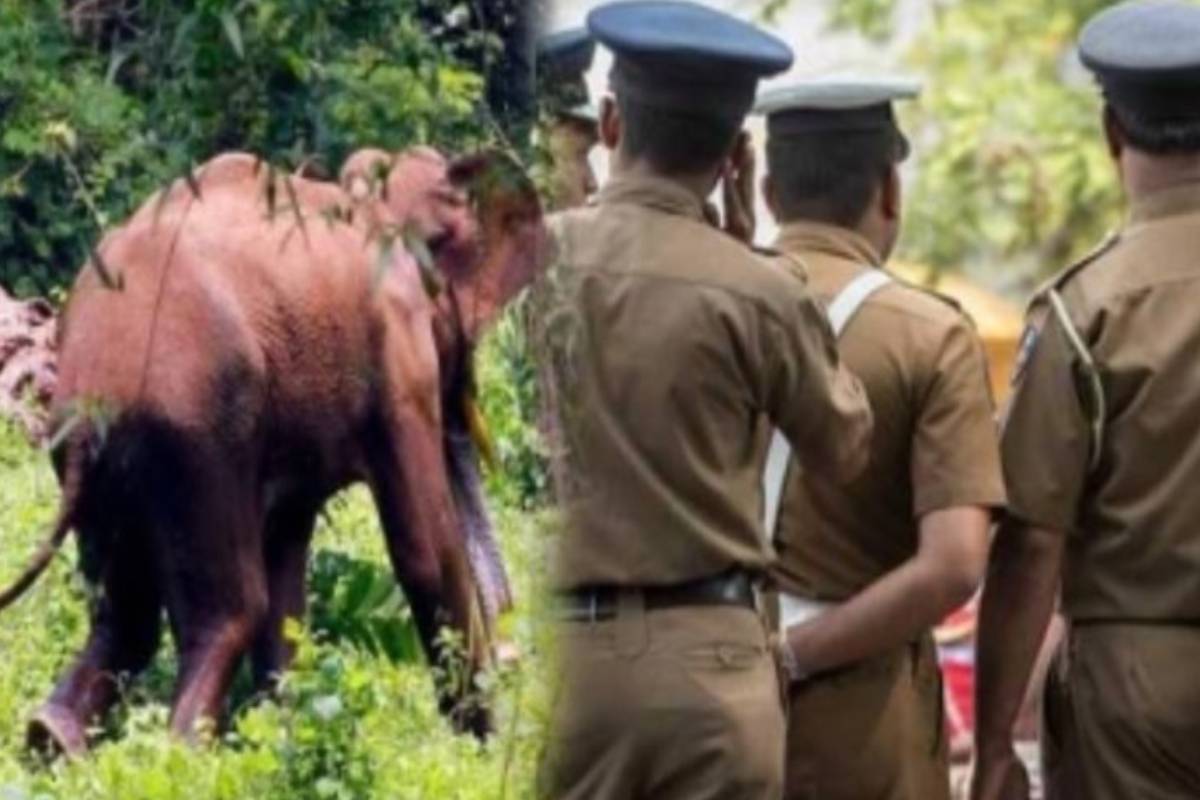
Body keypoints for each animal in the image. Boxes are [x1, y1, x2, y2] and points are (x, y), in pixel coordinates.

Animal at [0, 145, 548, 755]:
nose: (513, 657)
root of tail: (95, 381)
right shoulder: (397, 362)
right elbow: (424, 550)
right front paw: (480, 750)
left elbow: (287, 558)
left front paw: (281, 734)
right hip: (199, 437)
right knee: (231, 609)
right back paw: (184, 752)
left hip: (98, 453)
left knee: (125, 617)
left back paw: (51, 738)